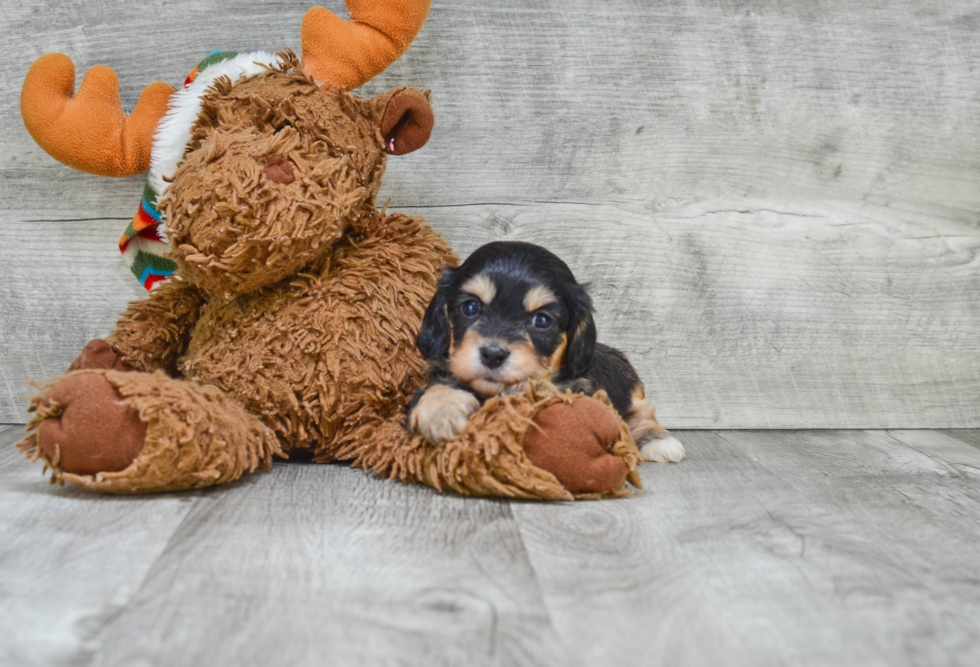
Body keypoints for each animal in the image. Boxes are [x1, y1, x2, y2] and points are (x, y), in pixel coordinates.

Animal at [410, 241, 684, 464]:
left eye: (541, 320)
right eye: (470, 307)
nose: (493, 354)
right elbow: (436, 386)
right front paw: (441, 411)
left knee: (640, 413)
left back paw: (659, 440)